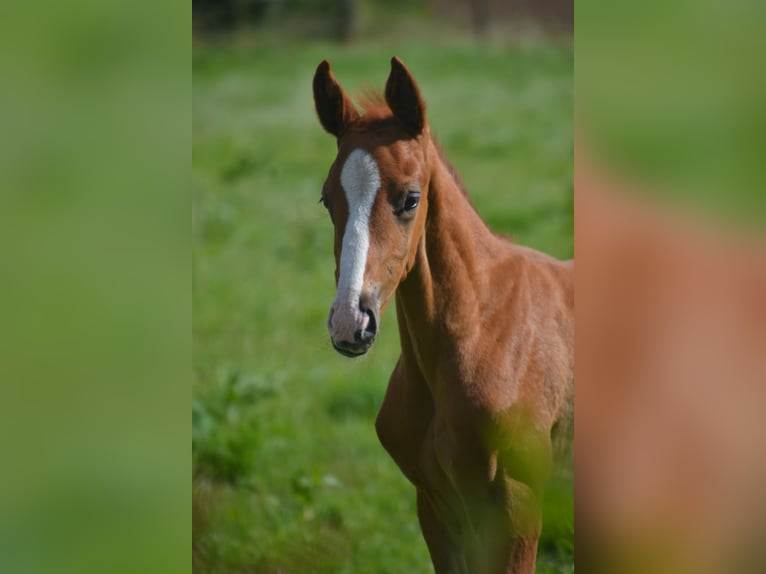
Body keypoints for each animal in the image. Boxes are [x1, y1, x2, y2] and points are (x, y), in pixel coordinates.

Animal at [314, 55, 576, 574]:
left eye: (411, 198)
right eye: (327, 199)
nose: (350, 322)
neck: (480, 333)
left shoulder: (518, 514)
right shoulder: (436, 509)